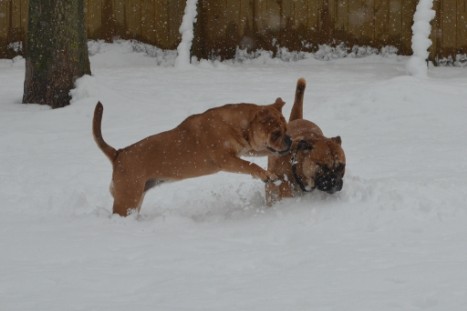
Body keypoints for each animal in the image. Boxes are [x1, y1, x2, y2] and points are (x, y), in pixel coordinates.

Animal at [93, 100, 290, 217]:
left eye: (286, 129)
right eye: (276, 133)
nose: (289, 140)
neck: (240, 124)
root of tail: (118, 154)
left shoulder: (247, 150)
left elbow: (261, 154)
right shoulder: (227, 160)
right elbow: (250, 165)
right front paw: (267, 175)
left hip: (135, 199)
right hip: (127, 198)